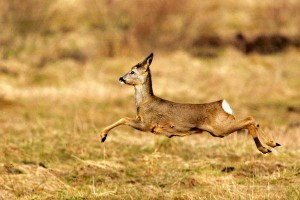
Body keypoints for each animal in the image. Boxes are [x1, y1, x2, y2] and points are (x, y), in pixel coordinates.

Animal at [99, 52, 280, 153]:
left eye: (132, 71)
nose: (120, 78)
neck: (144, 103)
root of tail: (222, 104)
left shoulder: (147, 124)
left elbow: (123, 118)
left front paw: (102, 136)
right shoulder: (144, 123)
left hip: (220, 128)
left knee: (250, 119)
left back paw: (270, 144)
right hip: (219, 130)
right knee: (251, 122)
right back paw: (268, 147)